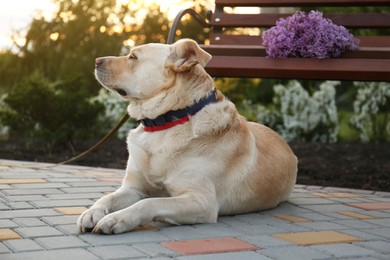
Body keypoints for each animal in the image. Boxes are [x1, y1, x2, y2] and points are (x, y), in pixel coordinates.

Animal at [76, 39, 298, 236]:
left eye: (133, 57)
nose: (96, 60)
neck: (166, 122)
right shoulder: (134, 188)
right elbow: (108, 197)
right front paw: (92, 212)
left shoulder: (202, 201)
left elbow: (148, 203)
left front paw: (117, 218)